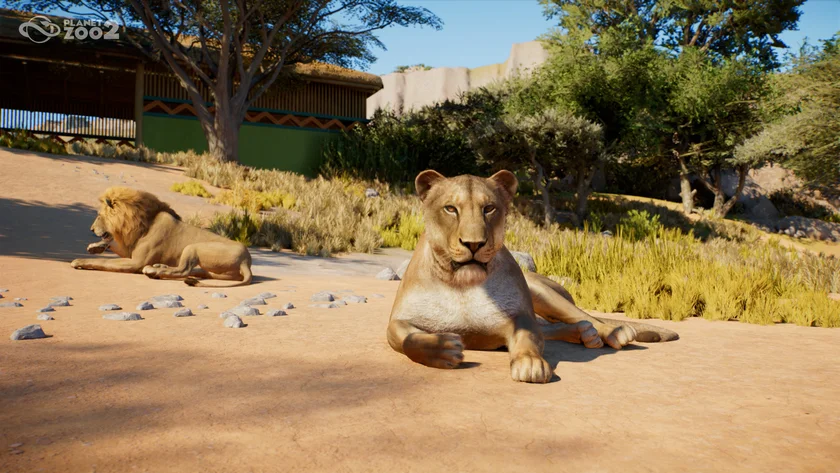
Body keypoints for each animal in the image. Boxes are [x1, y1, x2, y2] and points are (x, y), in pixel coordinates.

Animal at [70, 187, 252, 287]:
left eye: (99, 215)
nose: (91, 229)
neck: (141, 224)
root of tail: (246, 261)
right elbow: (111, 244)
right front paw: (95, 247)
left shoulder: (136, 262)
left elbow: (104, 262)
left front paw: (79, 261)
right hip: (211, 271)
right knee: (191, 271)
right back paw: (159, 267)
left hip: (194, 247)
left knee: (183, 270)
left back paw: (153, 270)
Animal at [387, 170, 679, 383]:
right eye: (450, 209)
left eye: (489, 208)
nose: (474, 244)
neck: (462, 284)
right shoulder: (398, 321)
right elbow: (407, 340)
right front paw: (445, 347)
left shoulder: (520, 315)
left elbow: (528, 338)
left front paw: (530, 364)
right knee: (554, 327)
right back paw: (585, 334)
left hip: (540, 289)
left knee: (583, 316)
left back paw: (613, 332)